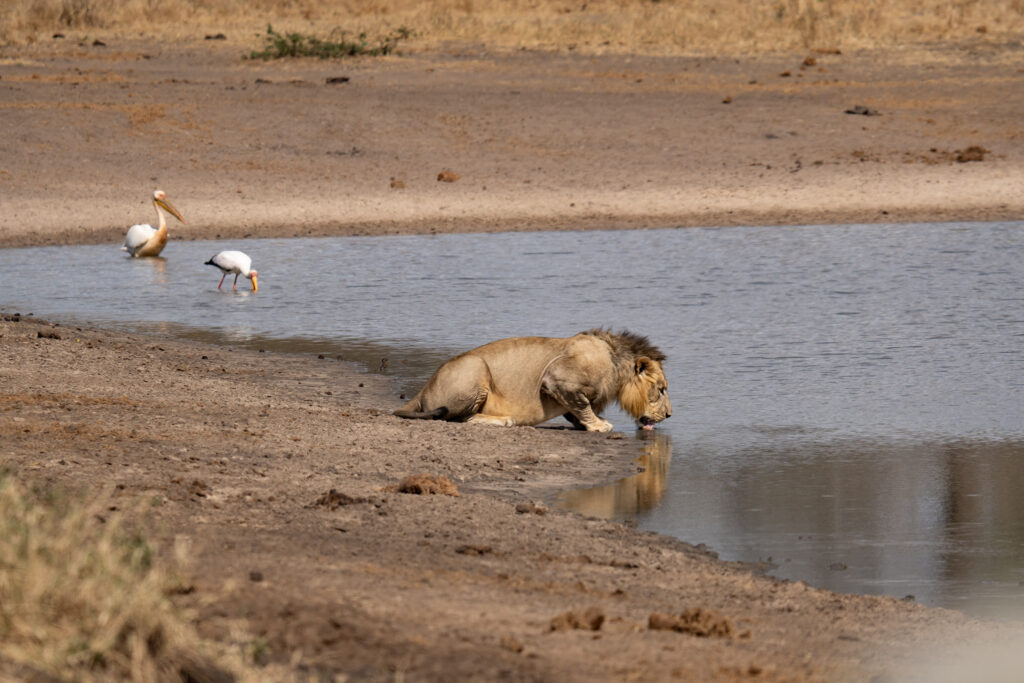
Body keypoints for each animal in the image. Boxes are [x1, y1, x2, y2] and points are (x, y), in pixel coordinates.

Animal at [393, 329, 671, 432]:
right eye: (661, 389)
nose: (669, 416)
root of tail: (424, 388)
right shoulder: (557, 378)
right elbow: (582, 405)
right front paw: (598, 425)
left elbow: (575, 409)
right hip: (476, 368)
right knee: (458, 418)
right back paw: (503, 420)